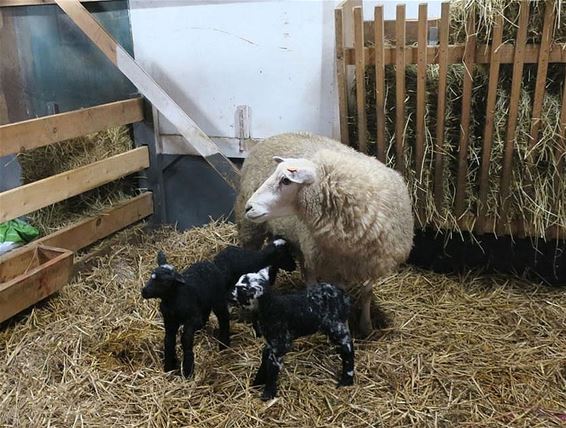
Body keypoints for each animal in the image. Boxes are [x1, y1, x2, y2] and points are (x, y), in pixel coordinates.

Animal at [231, 266, 356, 400]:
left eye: (240, 289)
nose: (229, 295)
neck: (271, 307)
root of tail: (343, 296)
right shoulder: (271, 343)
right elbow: (265, 359)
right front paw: (257, 383)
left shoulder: (280, 344)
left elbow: (273, 368)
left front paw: (268, 394)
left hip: (336, 325)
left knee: (348, 348)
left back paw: (346, 380)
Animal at [235, 132, 418, 336]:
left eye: (286, 180)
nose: (249, 207)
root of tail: (274, 136)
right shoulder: (332, 265)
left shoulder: (371, 262)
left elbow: (366, 293)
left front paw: (366, 326)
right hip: (253, 230)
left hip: (301, 243)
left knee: (307, 271)